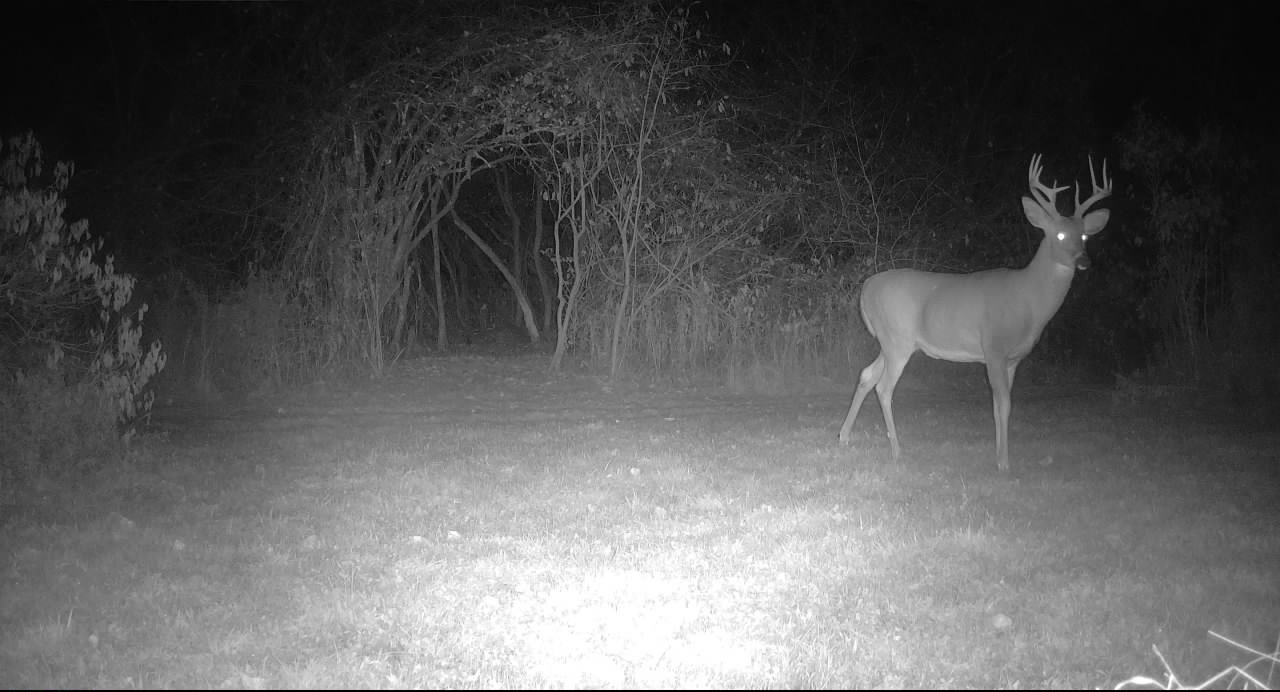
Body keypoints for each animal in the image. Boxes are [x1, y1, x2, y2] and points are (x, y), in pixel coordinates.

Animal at [838, 154, 1112, 472]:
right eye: (1059, 234)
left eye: (1084, 236)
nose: (1084, 261)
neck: (1030, 299)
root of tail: (867, 288)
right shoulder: (994, 348)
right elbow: (1003, 404)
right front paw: (1004, 462)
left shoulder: (1013, 359)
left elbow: (999, 408)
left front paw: (999, 455)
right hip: (897, 339)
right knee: (883, 387)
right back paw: (896, 451)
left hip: (891, 341)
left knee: (866, 375)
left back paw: (844, 436)